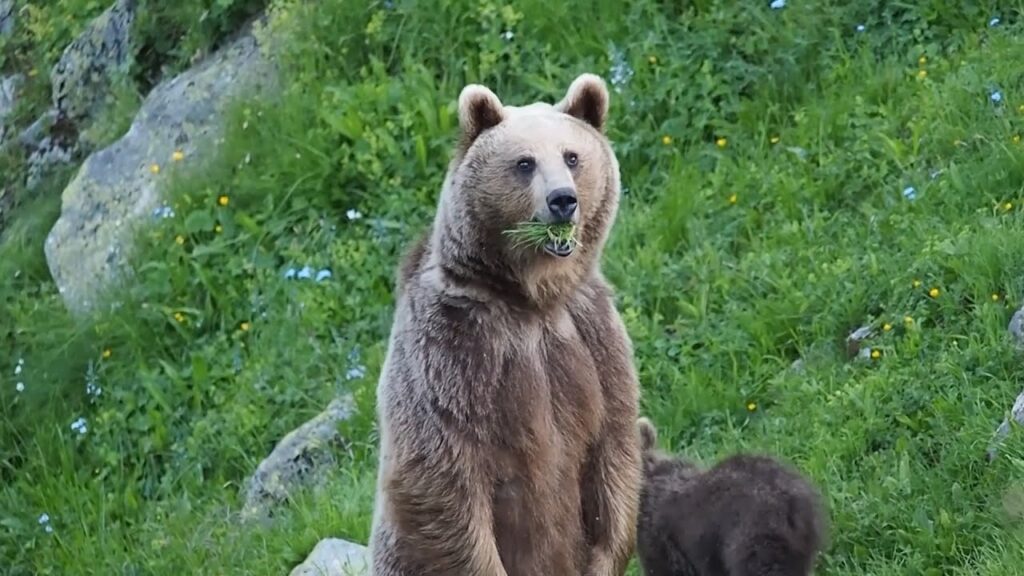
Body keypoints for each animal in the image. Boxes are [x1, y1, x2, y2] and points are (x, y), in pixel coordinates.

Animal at [368, 73, 642, 576]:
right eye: (524, 162)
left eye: (572, 156)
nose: (563, 200)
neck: (531, 298)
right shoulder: (453, 349)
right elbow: (442, 474)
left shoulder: (592, 333)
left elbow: (613, 438)